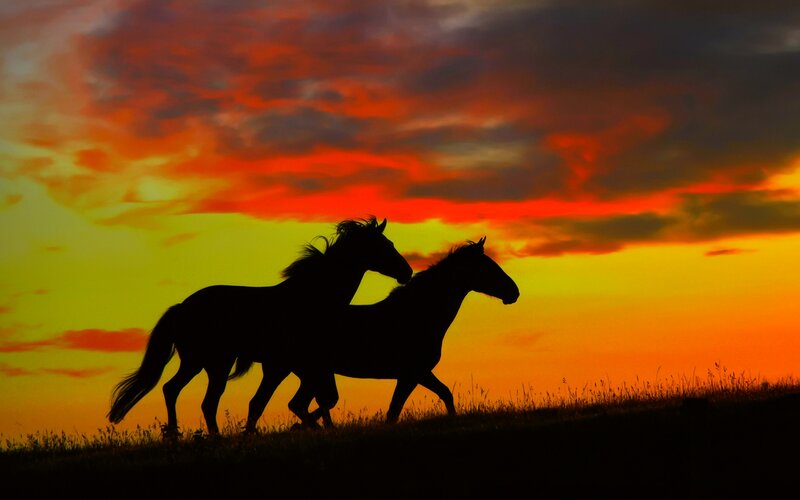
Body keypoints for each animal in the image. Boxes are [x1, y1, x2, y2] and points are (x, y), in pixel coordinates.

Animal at [107, 217, 413, 436]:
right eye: (385, 245)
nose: (407, 272)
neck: (310, 297)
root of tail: (182, 307)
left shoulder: (295, 366)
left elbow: (285, 402)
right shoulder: (286, 365)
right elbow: (274, 403)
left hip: (200, 362)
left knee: (175, 391)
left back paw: (178, 435)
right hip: (212, 363)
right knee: (200, 399)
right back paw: (202, 437)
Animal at [247, 236, 519, 429]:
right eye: (488, 267)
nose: (514, 292)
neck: (418, 315)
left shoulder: (419, 373)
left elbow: (444, 394)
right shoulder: (412, 373)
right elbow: (394, 411)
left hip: (306, 373)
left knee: (295, 404)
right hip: (296, 371)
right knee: (288, 404)